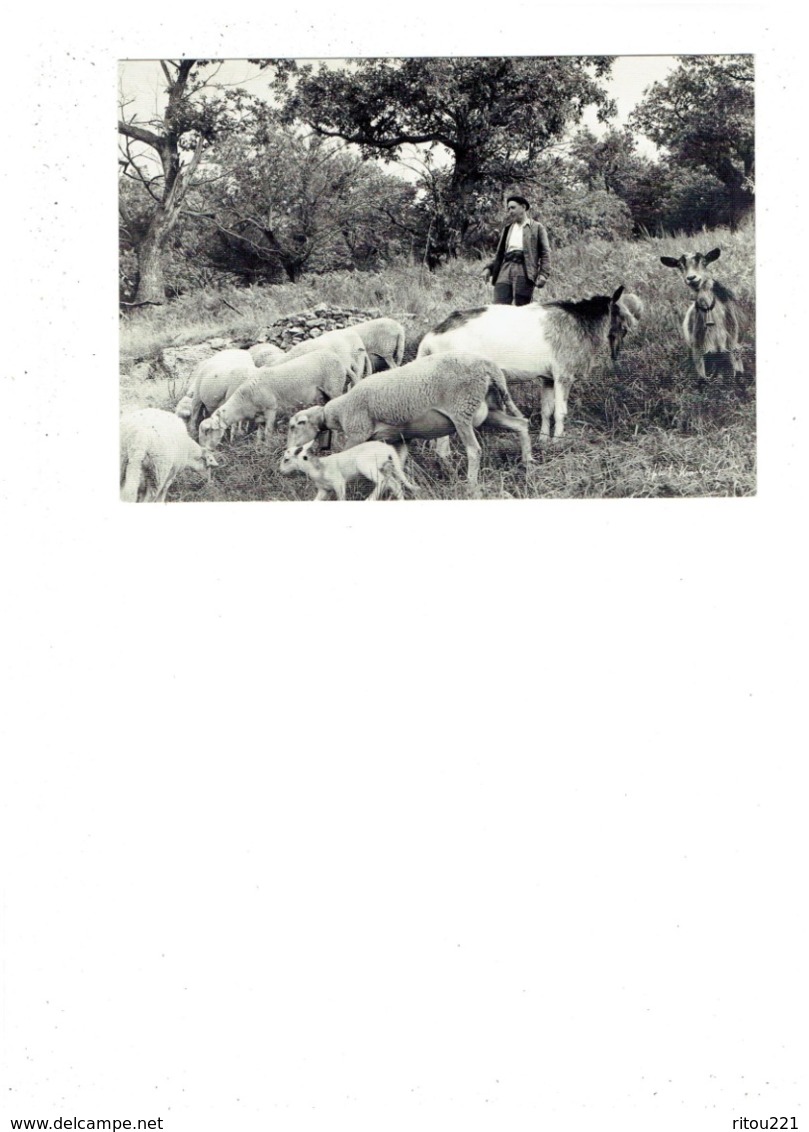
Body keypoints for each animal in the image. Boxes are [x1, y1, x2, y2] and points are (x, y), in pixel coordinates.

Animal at [199, 348, 348, 450]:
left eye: (208, 431)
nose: (204, 450)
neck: (245, 400)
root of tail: (335, 356)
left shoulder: (271, 409)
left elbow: (268, 432)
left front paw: (267, 447)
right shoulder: (259, 416)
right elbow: (259, 433)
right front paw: (257, 447)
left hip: (334, 388)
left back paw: (336, 443)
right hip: (325, 395)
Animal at [278, 436, 418, 500]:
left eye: (286, 459)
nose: (281, 471)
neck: (319, 468)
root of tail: (388, 449)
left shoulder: (339, 483)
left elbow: (341, 500)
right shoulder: (323, 490)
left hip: (367, 466)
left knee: (384, 482)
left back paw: (369, 500)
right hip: (386, 467)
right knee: (394, 484)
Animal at [285, 348, 531, 482]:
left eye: (297, 424)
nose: (288, 450)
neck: (339, 410)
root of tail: (489, 366)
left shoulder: (357, 433)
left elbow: (345, 457)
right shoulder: (399, 438)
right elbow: (398, 463)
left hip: (461, 410)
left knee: (474, 450)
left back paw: (471, 485)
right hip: (489, 409)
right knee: (521, 424)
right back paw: (528, 464)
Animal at [420, 285, 642, 439]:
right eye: (620, 312)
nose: (632, 324)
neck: (580, 320)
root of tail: (430, 339)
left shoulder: (548, 378)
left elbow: (546, 410)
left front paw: (544, 439)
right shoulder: (563, 376)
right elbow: (560, 412)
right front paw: (558, 441)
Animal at [660, 247, 742, 384]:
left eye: (704, 261)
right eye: (680, 265)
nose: (691, 278)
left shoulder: (731, 340)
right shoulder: (697, 345)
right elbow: (702, 376)